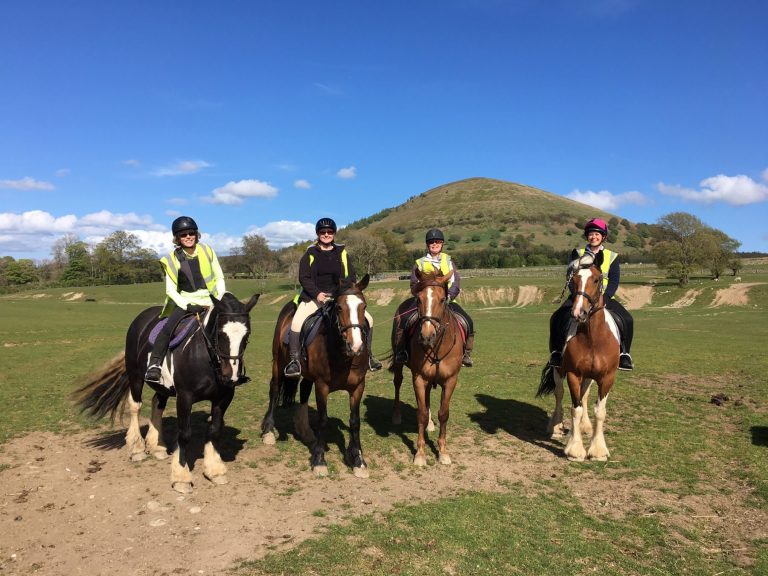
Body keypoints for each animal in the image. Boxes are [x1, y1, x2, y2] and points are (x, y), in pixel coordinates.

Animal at [75, 294, 260, 492]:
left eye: (247, 335)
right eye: (220, 333)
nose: (230, 375)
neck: (205, 357)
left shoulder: (223, 398)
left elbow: (214, 430)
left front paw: (215, 470)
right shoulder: (185, 397)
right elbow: (184, 435)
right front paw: (181, 477)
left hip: (162, 387)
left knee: (157, 403)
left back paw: (157, 447)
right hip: (135, 376)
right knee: (136, 406)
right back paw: (137, 449)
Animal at [260, 274, 372, 476]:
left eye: (364, 306)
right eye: (339, 307)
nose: (356, 346)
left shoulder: (358, 386)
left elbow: (355, 422)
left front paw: (358, 460)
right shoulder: (322, 386)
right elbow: (323, 420)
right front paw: (319, 459)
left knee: (304, 390)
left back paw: (305, 432)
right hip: (278, 364)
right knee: (274, 390)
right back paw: (269, 431)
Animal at [390, 272, 462, 468]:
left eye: (443, 299)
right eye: (419, 299)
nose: (426, 336)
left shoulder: (451, 380)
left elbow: (443, 414)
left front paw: (443, 452)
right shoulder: (419, 378)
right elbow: (421, 414)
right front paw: (420, 454)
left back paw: (430, 424)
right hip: (400, 365)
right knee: (397, 383)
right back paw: (397, 415)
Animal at [536, 252, 620, 464]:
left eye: (597, 279)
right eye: (573, 281)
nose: (578, 312)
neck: (592, 337)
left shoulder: (607, 377)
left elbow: (599, 411)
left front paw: (598, 450)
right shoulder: (573, 374)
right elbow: (576, 408)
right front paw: (575, 449)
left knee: (584, 396)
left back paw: (584, 426)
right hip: (559, 369)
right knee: (559, 393)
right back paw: (556, 426)